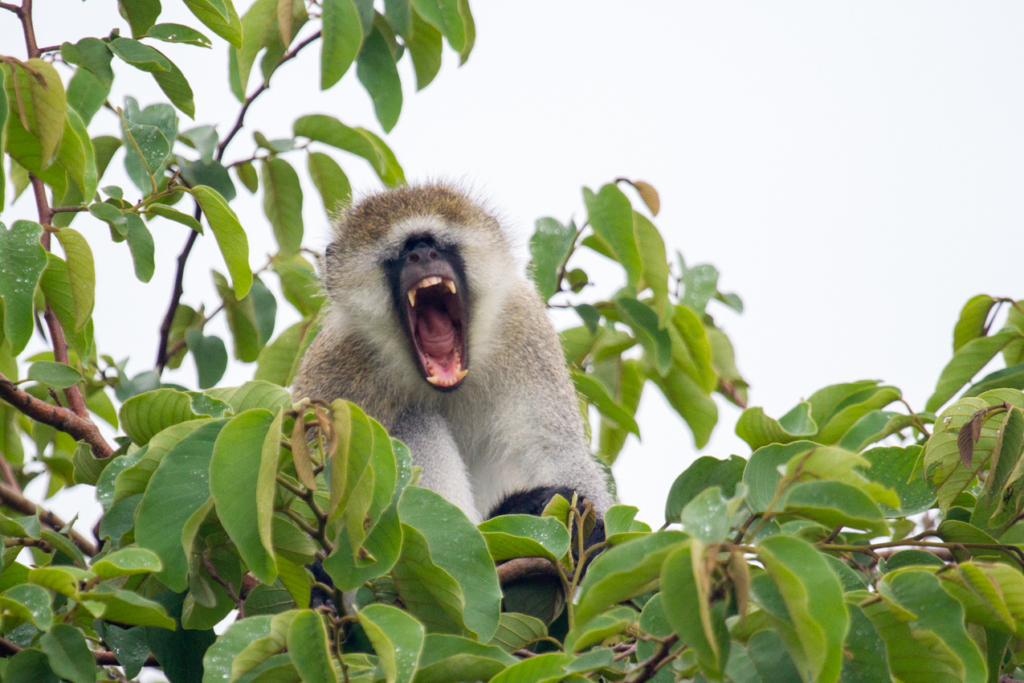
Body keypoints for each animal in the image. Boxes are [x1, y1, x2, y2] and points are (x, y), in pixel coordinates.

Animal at [292, 184, 610, 536]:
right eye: (401, 253)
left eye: (438, 246)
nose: (422, 255)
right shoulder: (333, 371)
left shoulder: (524, 328)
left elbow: (560, 456)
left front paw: (590, 533)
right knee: (416, 420)